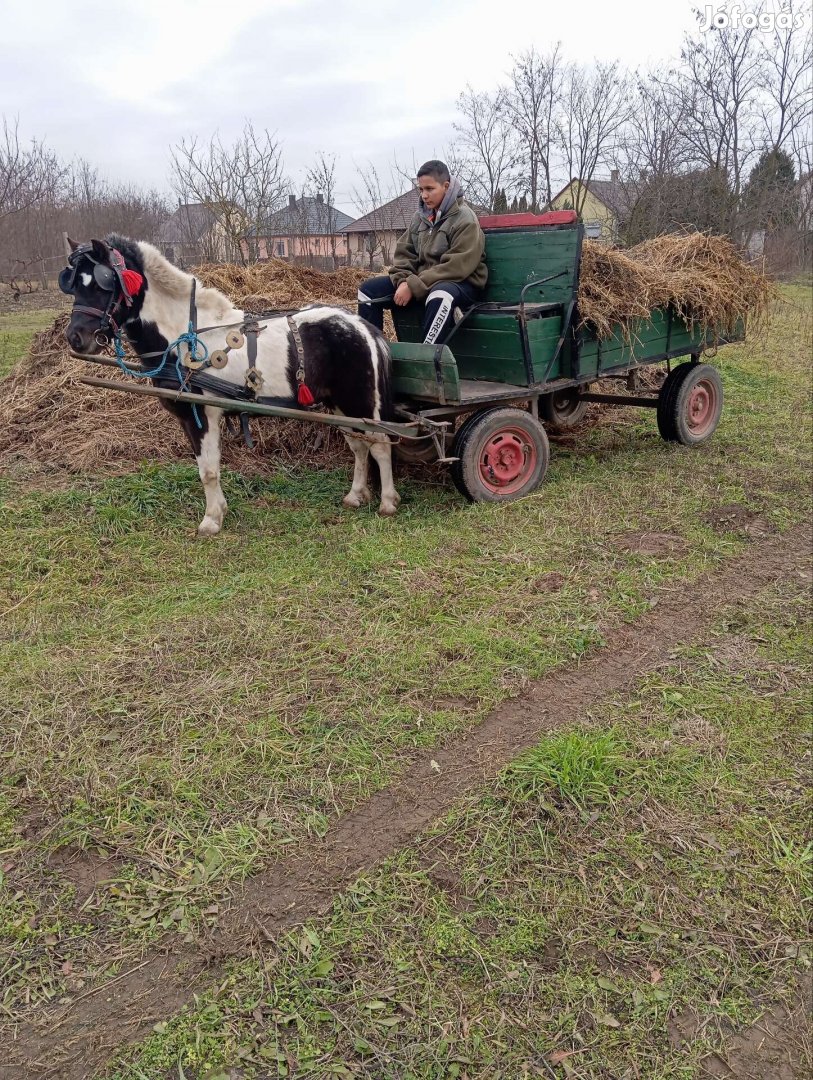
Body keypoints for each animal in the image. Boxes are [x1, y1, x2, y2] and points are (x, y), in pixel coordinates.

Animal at [65, 235, 401, 531]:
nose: (75, 338)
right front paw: (219, 511)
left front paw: (211, 520)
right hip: (340, 405)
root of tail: (363, 326)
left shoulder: (202, 416)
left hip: (362, 403)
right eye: (74, 285)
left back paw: (387, 501)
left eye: (102, 284)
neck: (185, 337)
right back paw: (355, 495)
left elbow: (208, 470)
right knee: (359, 447)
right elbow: (208, 467)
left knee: (381, 447)